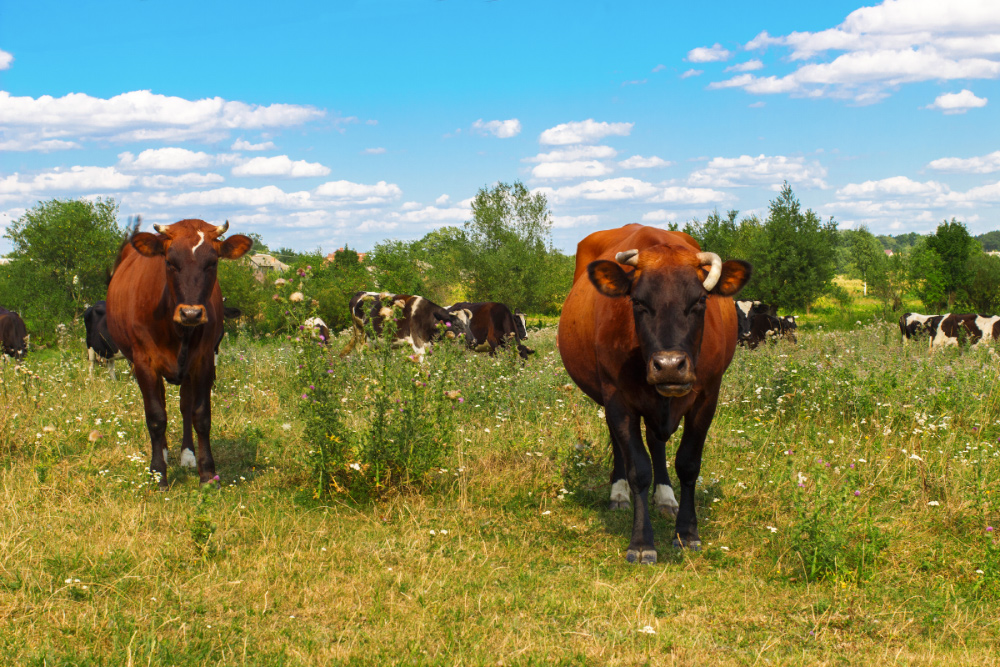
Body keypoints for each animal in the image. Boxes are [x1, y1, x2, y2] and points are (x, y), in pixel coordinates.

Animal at [105, 219, 252, 486]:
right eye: (170, 262)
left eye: (212, 262)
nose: (191, 313)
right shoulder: (144, 363)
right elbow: (155, 417)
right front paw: (158, 473)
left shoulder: (204, 361)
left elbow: (200, 415)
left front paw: (207, 473)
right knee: (161, 405)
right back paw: (163, 452)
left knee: (185, 407)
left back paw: (187, 455)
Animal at [340, 292, 472, 360]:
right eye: (457, 325)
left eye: (468, 324)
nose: (473, 340)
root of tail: (360, 293)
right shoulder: (418, 344)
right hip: (360, 333)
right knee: (360, 350)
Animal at [556, 224, 752, 564]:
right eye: (637, 302)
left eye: (700, 301)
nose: (669, 365)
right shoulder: (618, 399)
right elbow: (638, 468)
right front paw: (641, 541)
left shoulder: (707, 397)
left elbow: (688, 463)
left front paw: (686, 532)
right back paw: (619, 493)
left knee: (657, 443)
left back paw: (665, 497)